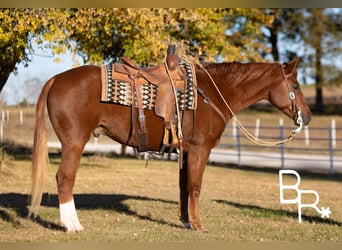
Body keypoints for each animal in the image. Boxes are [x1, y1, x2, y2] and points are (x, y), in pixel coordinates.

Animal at [29, 57, 312, 231]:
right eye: (296, 85)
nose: (307, 117)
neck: (211, 94)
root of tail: (56, 79)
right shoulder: (199, 150)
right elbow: (195, 187)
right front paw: (198, 225)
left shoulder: (185, 152)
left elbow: (184, 186)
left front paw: (185, 222)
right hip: (74, 143)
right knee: (65, 178)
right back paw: (72, 225)